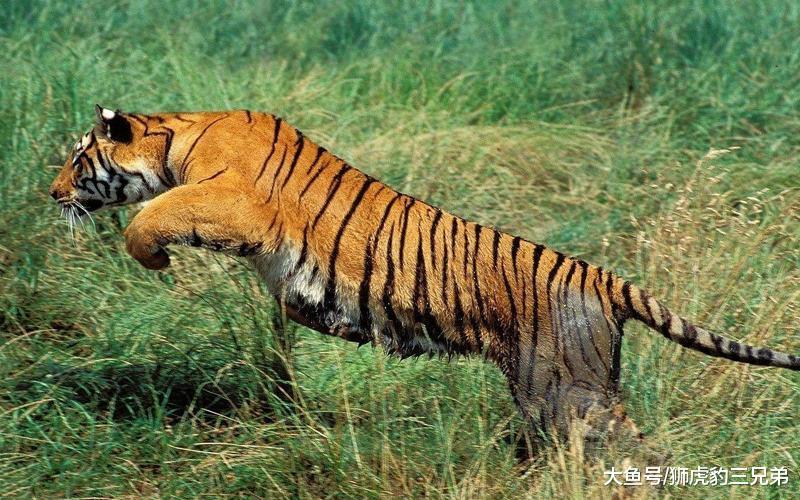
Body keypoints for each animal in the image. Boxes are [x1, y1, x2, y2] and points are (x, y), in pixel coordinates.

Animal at [49, 106, 800, 445]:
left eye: (78, 159)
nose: (50, 192)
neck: (178, 134)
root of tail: (603, 278)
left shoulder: (236, 200)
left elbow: (154, 212)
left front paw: (155, 256)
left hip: (568, 392)